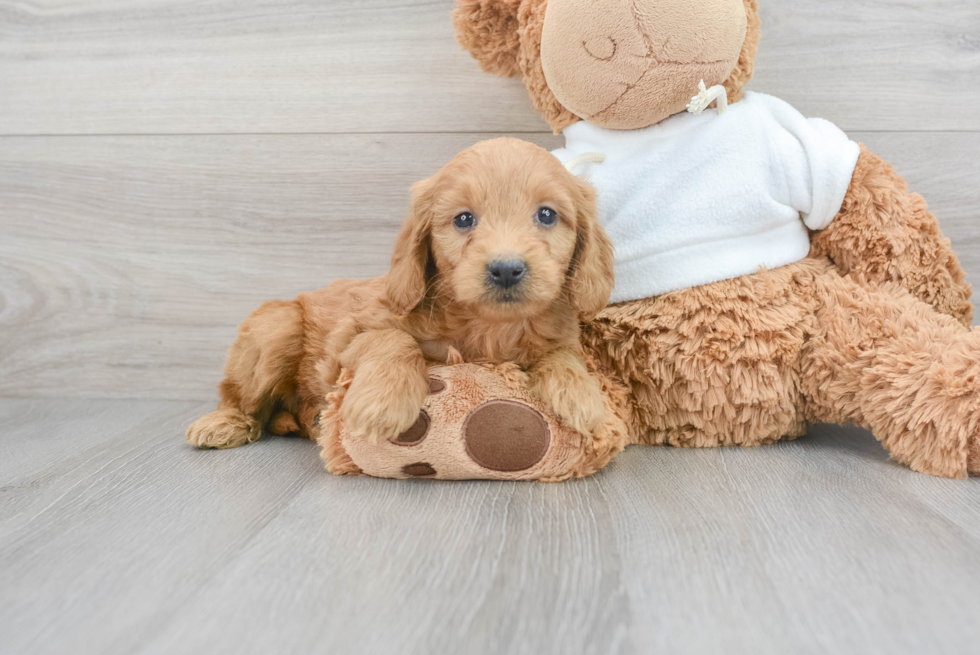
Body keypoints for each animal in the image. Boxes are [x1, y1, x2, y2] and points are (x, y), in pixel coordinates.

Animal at [187, 138, 612, 452]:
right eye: (463, 219)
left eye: (546, 214)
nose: (506, 268)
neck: (490, 327)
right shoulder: (349, 339)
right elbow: (393, 339)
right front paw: (383, 403)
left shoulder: (560, 338)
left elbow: (562, 354)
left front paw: (581, 395)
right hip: (276, 327)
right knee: (237, 395)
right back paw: (224, 423)